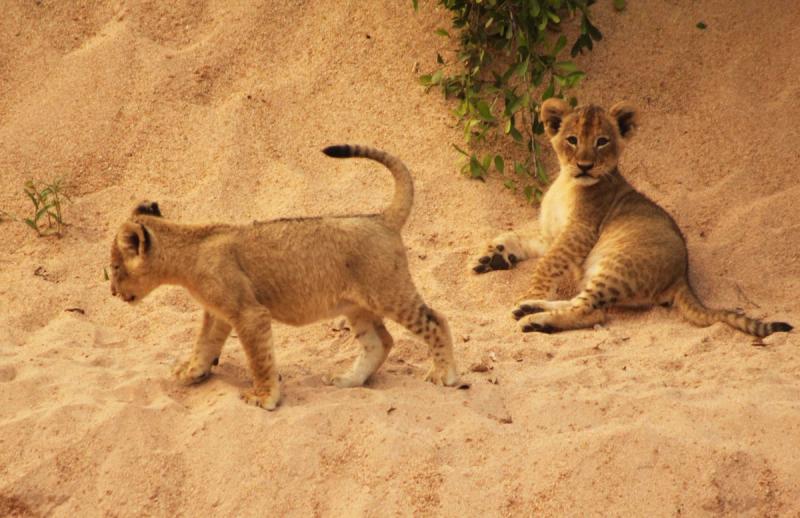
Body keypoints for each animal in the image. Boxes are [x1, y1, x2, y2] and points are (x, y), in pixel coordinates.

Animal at [110, 145, 459, 410]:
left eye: (112, 268)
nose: (112, 292)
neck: (188, 250)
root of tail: (382, 218)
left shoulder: (249, 313)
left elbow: (259, 358)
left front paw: (264, 397)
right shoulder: (219, 312)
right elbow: (204, 343)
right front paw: (190, 371)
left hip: (389, 292)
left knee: (436, 320)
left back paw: (445, 375)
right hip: (357, 306)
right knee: (380, 342)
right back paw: (349, 380)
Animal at [472, 99, 792, 338]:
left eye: (602, 141)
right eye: (572, 140)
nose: (585, 166)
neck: (566, 182)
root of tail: (683, 277)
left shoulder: (580, 231)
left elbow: (548, 263)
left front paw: (529, 289)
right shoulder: (551, 233)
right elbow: (516, 237)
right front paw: (492, 257)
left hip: (616, 265)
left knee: (591, 311)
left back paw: (534, 318)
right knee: (579, 302)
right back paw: (530, 308)